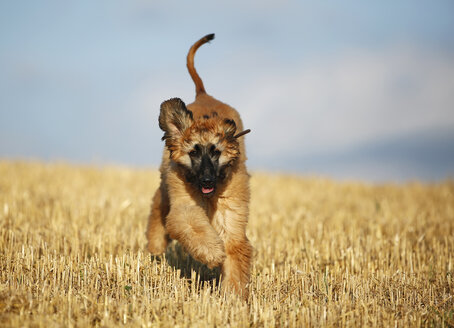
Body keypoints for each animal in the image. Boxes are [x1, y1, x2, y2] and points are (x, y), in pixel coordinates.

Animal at [145, 34, 252, 298]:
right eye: (193, 152)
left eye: (216, 152)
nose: (206, 181)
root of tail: (204, 94)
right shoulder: (184, 203)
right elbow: (190, 223)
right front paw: (212, 253)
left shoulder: (231, 212)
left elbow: (234, 249)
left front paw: (233, 296)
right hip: (166, 185)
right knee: (157, 210)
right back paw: (155, 247)